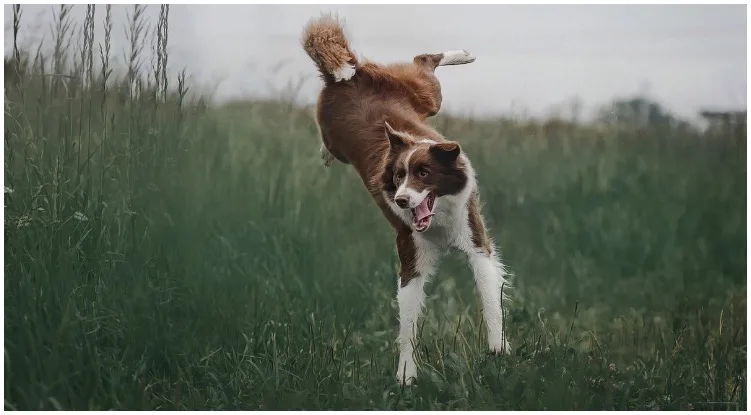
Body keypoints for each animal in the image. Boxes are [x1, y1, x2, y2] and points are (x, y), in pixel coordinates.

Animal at [304, 15, 512, 386]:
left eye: (424, 174)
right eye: (398, 176)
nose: (401, 200)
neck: (439, 222)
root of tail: (346, 76)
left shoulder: (476, 241)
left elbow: (490, 297)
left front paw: (497, 348)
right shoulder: (410, 257)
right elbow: (409, 324)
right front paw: (406, 376)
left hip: (425, 95)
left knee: (424, 62)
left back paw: (463, 54)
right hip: (357, 122)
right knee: (419, 62)